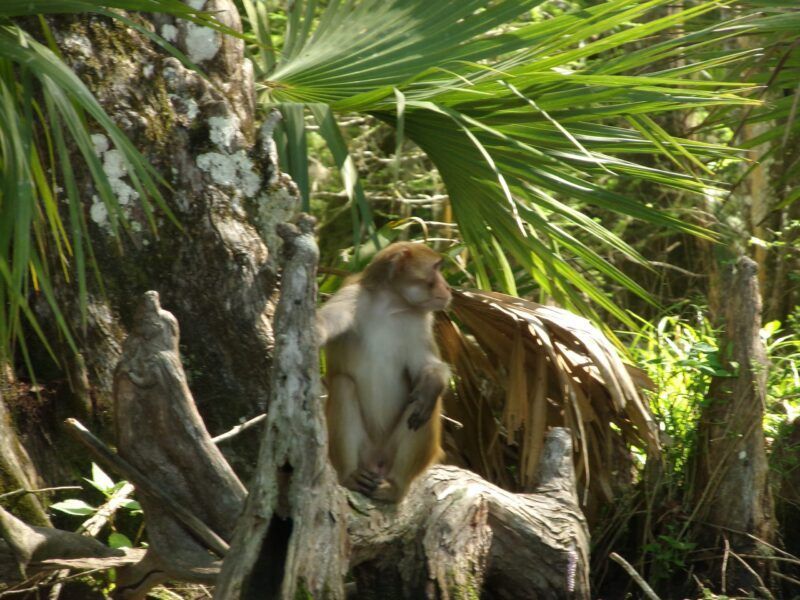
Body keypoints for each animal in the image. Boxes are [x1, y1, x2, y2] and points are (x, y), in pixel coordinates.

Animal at [316, 242, 452, 502]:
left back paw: (396, 486)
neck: (391, 304)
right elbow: (326, 325)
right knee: (343, 384)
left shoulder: (422, 321)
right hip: (363, 450)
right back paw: (350, 475)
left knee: (426, 402)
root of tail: (376, 460)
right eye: (436, 268)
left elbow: (428, 367)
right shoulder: (350, 297)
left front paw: (431, 382)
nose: (448, 287)